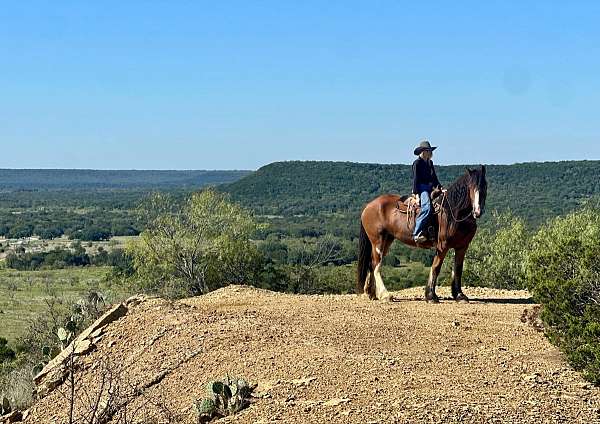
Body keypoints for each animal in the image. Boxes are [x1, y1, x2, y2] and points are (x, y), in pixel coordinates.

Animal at [356, 165, 488, 302]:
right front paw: (431, 295)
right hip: (378, 241)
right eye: (471, 187)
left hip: (386, 240)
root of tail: (368, 206)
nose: (477, 211)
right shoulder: (443, 245)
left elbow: (458, 269)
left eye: (484, 186)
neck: (452, 212)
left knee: (371, 263)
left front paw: (459, 295)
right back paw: (385, 295)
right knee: (376, 264)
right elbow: (436, 267)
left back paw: (372, 293)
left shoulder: (462, 246)